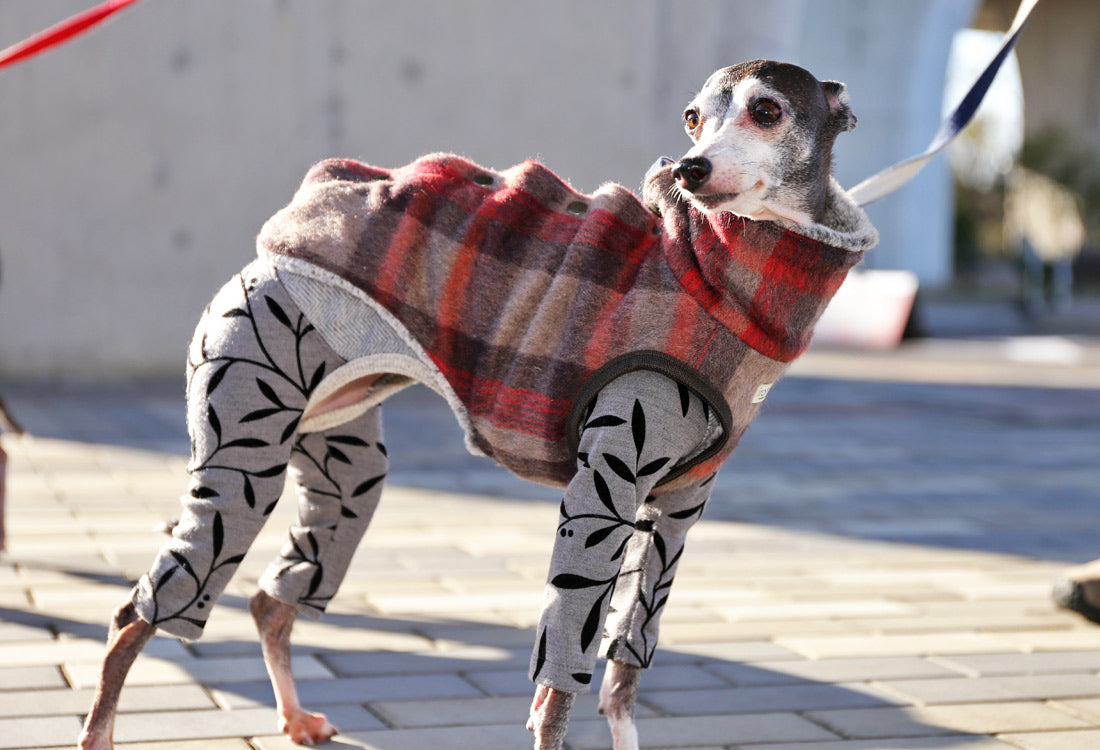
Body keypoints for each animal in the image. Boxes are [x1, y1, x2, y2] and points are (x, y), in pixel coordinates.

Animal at [77, 58, 871, 747]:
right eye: (693, 117)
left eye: (767, 110)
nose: (689, 171)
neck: (728, 279)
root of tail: (279, 239)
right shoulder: (601, 495)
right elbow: (559, 687)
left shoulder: (676, 511)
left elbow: (624, 670)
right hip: (245, 452)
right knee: (136, 611)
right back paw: (101, 730)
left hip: (344, 464)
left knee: (274, 599)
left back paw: (296, 717)